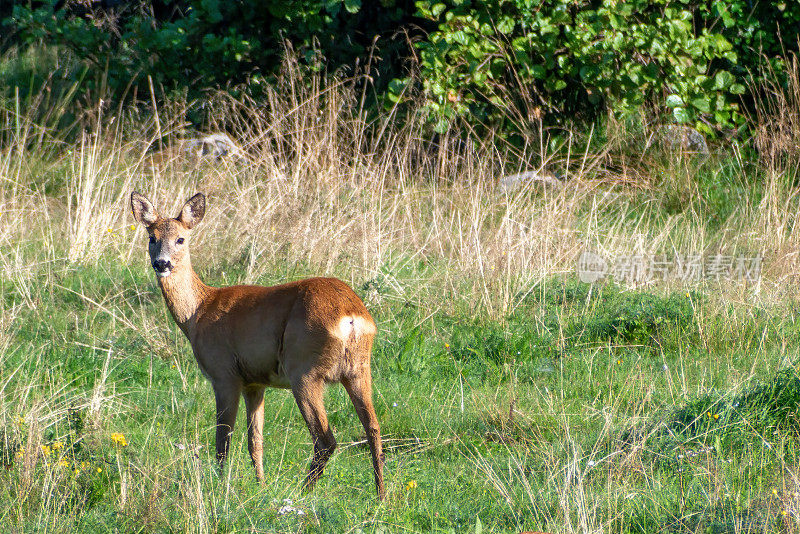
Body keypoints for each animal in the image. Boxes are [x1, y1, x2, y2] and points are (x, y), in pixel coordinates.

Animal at [131, 193, 388, 502]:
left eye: (181, 238)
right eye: (151, 237)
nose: (162, 263)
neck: (198, 312)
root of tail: (351, 316)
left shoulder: (224, 374)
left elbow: (223, 438)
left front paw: (221, 487)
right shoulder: (255, 382)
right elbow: (255, 440)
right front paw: (261, 485)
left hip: (304, 369)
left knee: (325, 438)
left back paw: (302, 493)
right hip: (359, 368)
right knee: (373, 428)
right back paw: (382, 496)